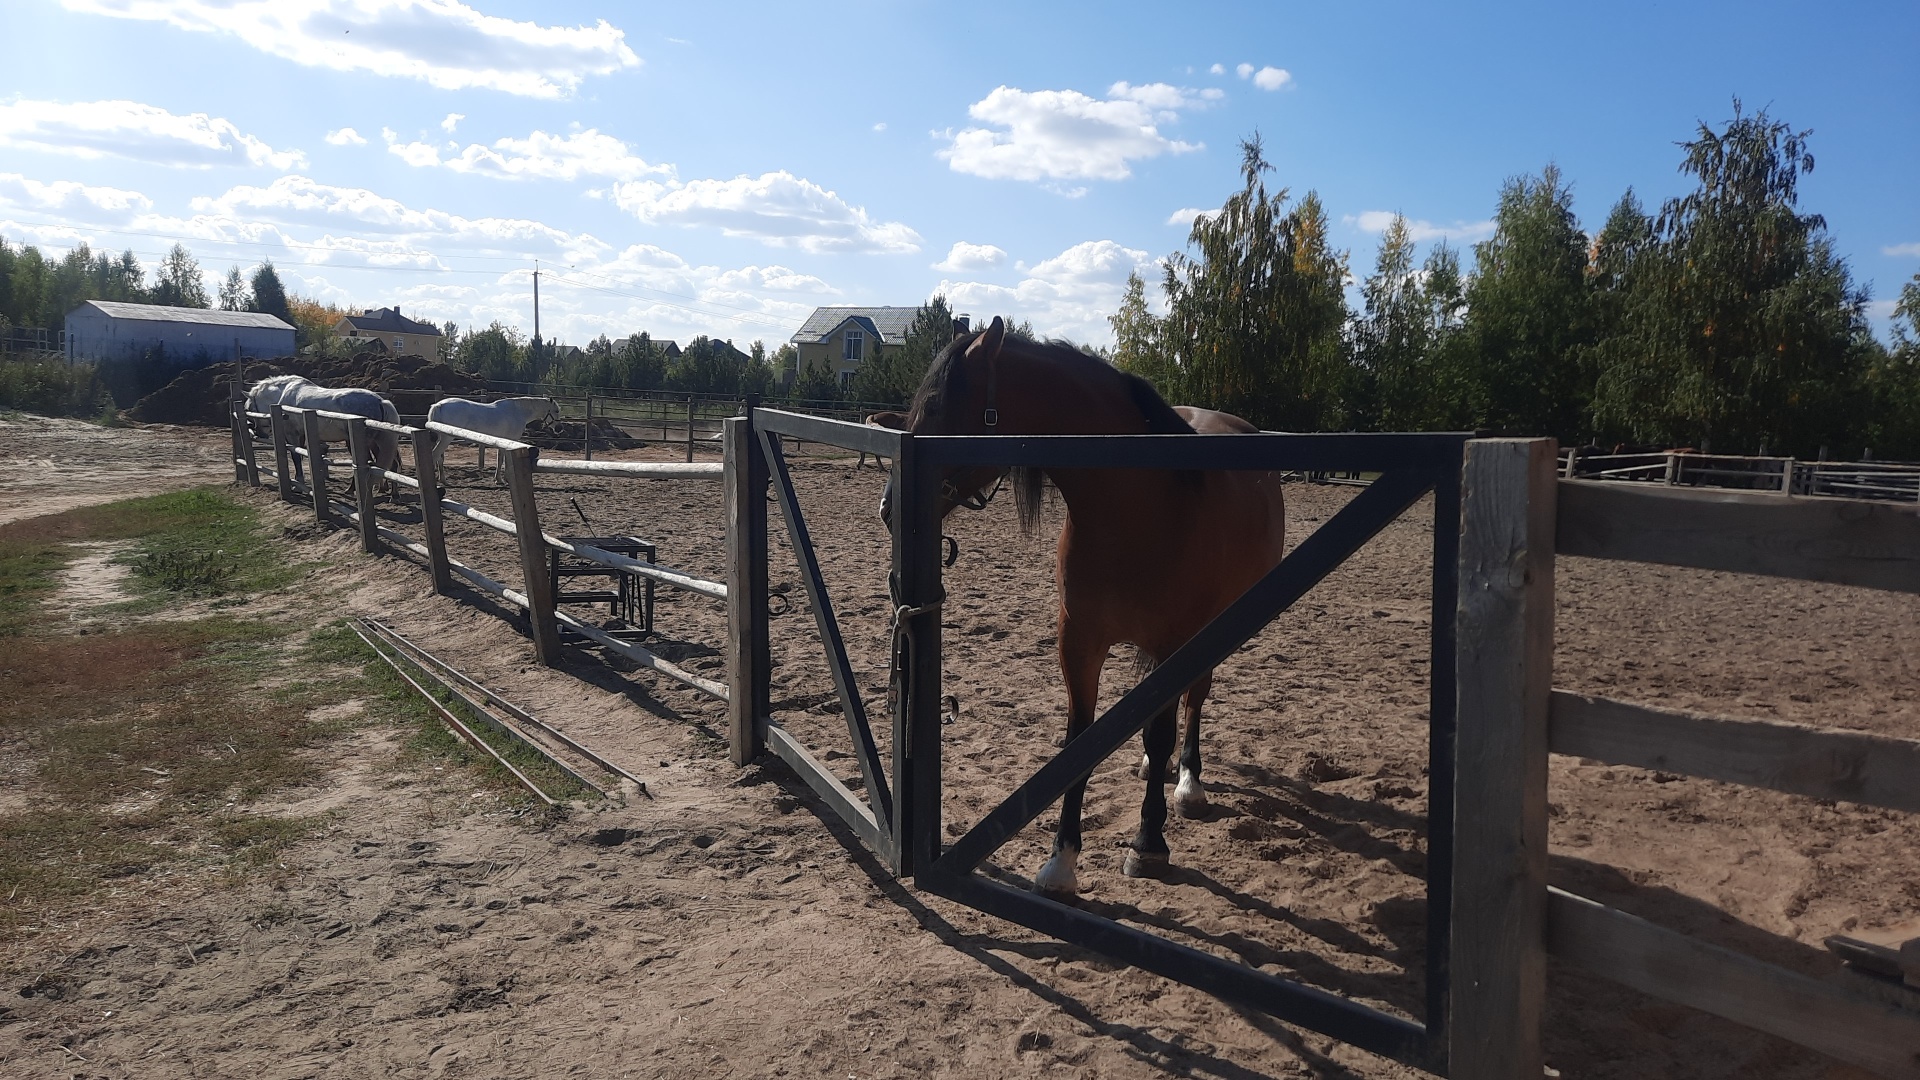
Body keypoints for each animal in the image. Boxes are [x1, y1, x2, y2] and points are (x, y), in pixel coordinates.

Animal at [426, 395, 556, 478]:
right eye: (556, 411)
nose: (559, 428)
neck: (517, 412)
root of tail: (439, 405)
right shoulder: (511, 441)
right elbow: (505, 461)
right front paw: (505, 479)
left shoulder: (502, 442)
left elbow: (499, 460)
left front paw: (498, 479)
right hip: (447, 438)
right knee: (435, 454)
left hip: (442, 438)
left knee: (439, 457)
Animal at [883, 315, 1290, 895]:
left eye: (939, 407)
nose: (888, 507)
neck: (1145, 506)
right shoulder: (1078, 640)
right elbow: (1080, 739)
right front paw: (1061, 862)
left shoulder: (1176, 642)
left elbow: (1161, 731)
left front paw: (1148, 843)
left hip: (1212, 631)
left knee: (1195, 699)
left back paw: (1188, 783)